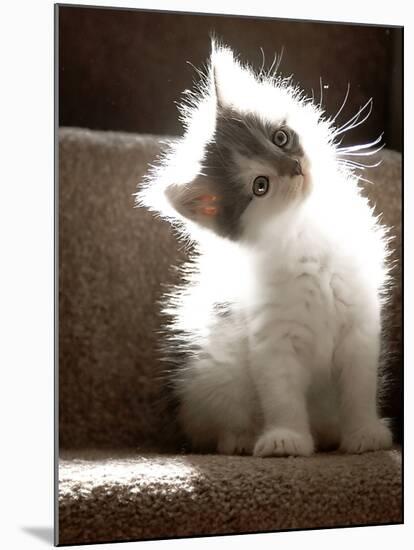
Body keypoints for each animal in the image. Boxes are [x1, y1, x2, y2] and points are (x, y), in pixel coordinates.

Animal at [137, 41, 392, 460]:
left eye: (280, 138)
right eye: (260, 185)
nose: (295, 167)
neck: (305, 230)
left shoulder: (359, 324)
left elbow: (358, 388)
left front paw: (363, 435)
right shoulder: (273, 336)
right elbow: (282, 395)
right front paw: (285, 439)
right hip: (211, 370)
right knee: (217, 425)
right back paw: (241, 439)